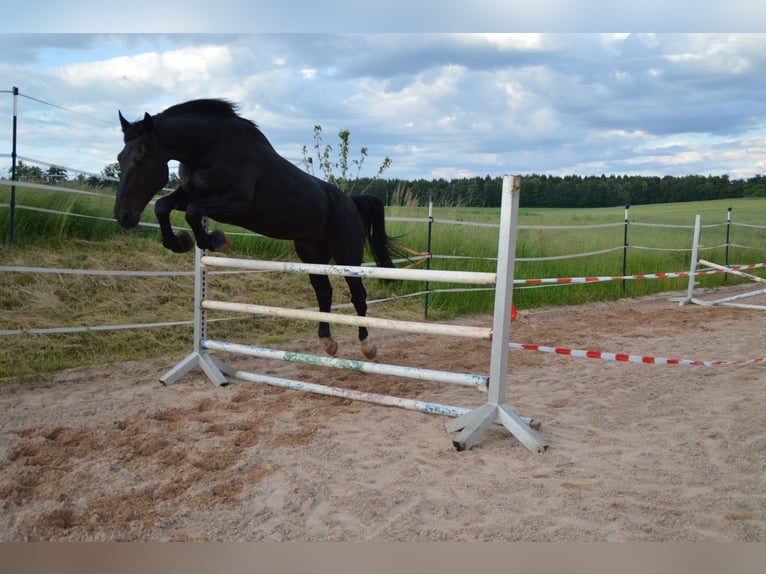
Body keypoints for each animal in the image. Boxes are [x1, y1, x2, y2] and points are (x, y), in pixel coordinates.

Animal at [117, 99, 402, 360]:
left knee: (358, 296)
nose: (123, 216)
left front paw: (215, 239)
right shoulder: (189, 194)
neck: (210, 149)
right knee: (324, 292)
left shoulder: (235, 203)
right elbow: (163, 206)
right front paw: (180, 242)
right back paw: (327, 342)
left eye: (140, 161)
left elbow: (192, 212)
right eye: (120, 159)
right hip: (311, 253)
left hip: (346, 254)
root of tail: (351, 203)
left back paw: (367, 346)